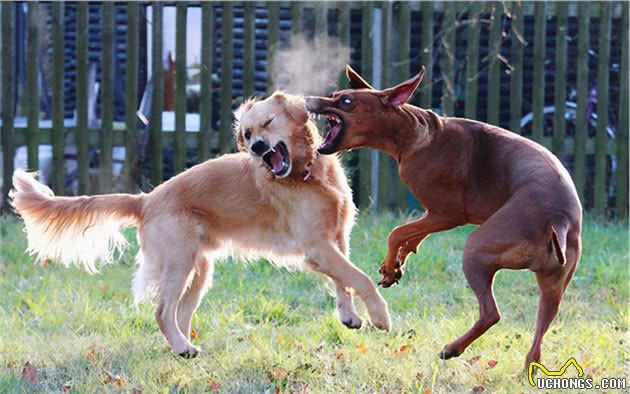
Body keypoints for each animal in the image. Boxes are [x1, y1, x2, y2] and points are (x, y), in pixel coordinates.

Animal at [306, 65, 584, 366]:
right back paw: (525, 366)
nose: (309, 99)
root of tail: (558, 219)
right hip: (553, 287)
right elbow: (412, 236)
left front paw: (392, 265)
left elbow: (397, 232)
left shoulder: (449, 214)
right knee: (540, 332)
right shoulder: (433, 214)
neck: (414, 134)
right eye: (334, 94)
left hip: (476, 250)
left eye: (346, 101)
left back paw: (453, 348)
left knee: (491, 313)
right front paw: (396, 266)